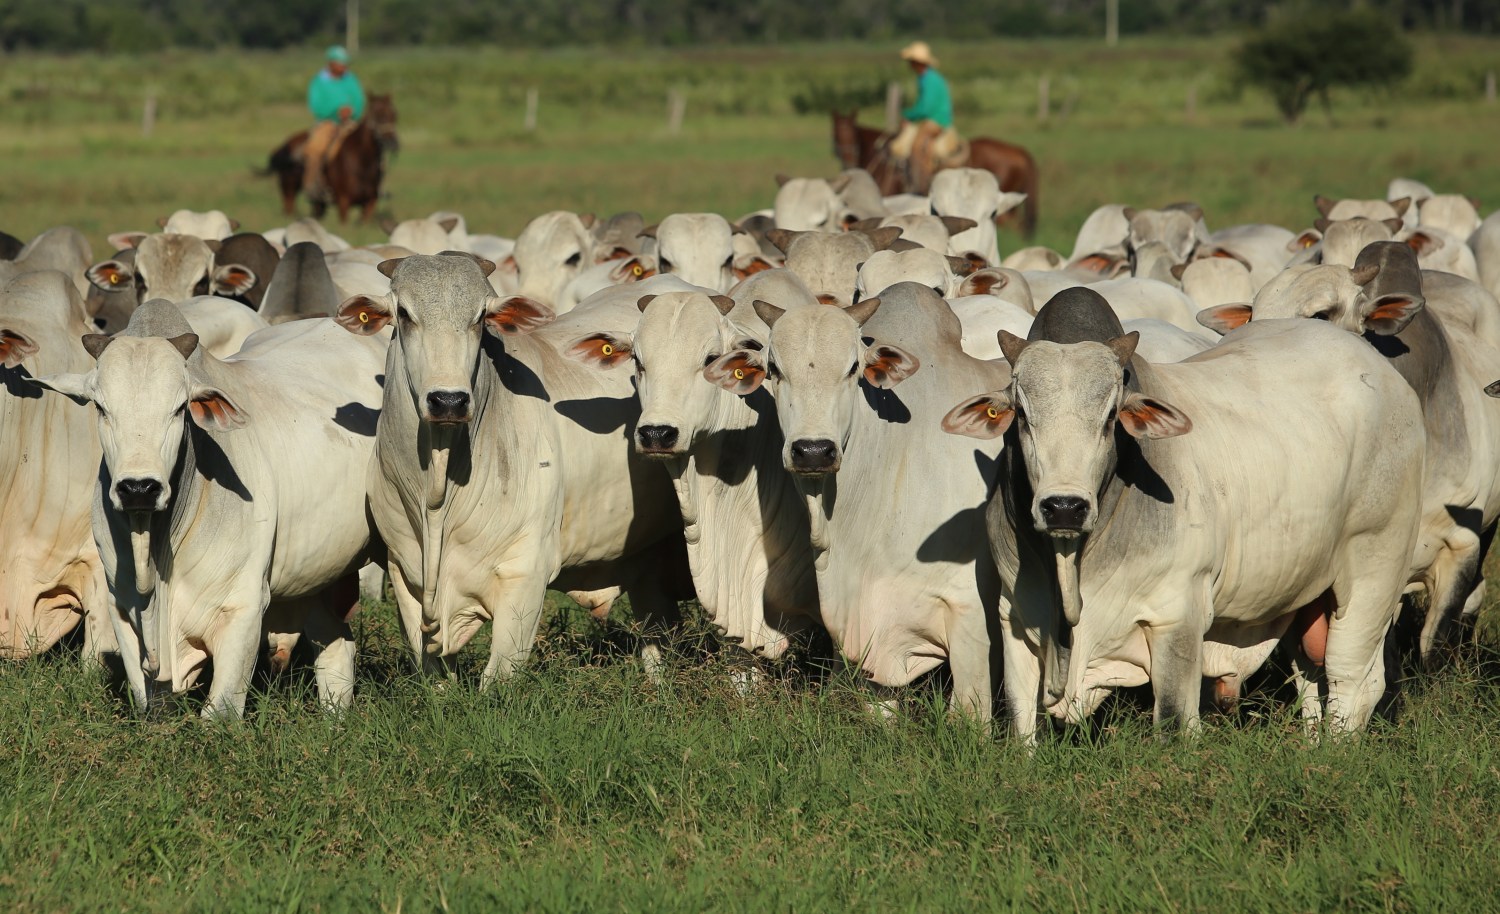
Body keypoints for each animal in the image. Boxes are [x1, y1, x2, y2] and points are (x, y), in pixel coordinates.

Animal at [261, 93, 399, 222]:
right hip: (289, 190)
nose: (392, 143)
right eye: (378, 115)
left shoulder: (370, 203)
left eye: (394, 115)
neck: (363, 164)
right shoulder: (343, 202)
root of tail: (285, 145)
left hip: (317, 203)